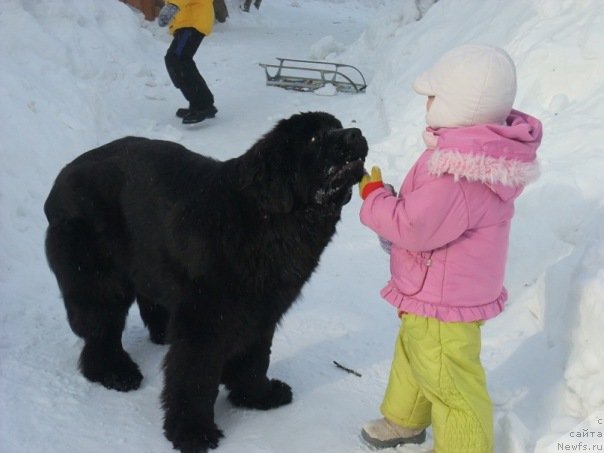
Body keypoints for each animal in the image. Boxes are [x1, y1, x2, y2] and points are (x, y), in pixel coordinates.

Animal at [44, 111, 366, 450]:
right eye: (315, 138)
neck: (269, 220)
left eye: (338, 126)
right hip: (97, 278)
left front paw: (257, 396)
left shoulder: (262, 310)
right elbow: (194, 377)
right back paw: (115, 371)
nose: (355, 134)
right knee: (101, 330)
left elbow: (255, 358)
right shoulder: (205, 317)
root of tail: (61, 178)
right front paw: (192, 431)